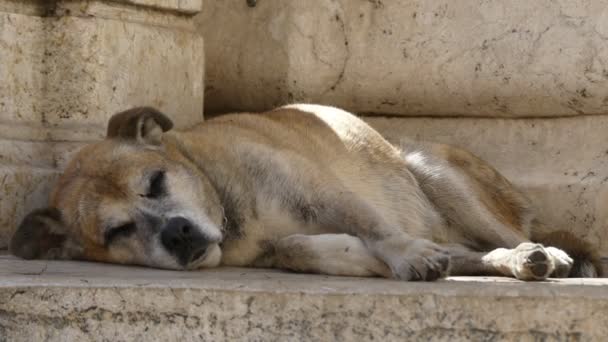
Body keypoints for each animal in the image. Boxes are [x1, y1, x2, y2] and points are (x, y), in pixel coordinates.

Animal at [10, 104, 604, 280]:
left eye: (155, 182)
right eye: (118, 231)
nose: (177, 235)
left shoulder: (325, 192)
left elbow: (374, 226)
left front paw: (399, 254)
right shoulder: (274, 244)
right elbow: (302, 247)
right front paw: (354, 257)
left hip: (435, 173)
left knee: (511, 235)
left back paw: (542, 253)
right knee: (471, 255)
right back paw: (517, 261)